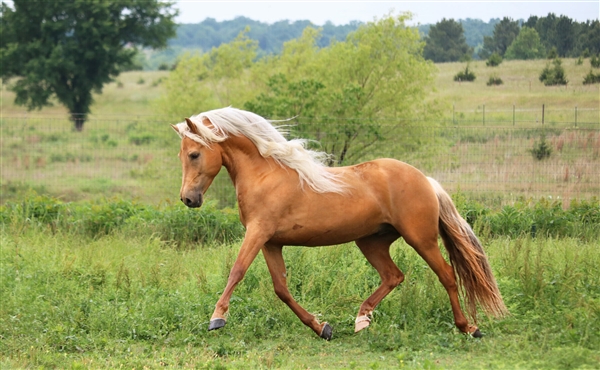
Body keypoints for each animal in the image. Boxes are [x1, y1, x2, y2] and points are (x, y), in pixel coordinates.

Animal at [170, 105, 506, 340]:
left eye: (194, 154)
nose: (188, 199)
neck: (266, 174)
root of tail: (426, 180)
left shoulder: (258, 233)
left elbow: (237, 271)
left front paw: (217, 318)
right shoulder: (271, 242)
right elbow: (281, 289)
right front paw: (322, 328)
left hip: (420, 238)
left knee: (447, 275)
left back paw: (468, 328)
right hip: (371, 241)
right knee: (393, 276)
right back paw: (361, 320)